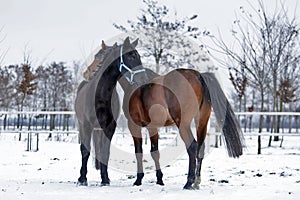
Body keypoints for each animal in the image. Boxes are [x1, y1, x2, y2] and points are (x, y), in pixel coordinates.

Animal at [74, 37, 146, 186]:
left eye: (138, 56)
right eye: (131, 56)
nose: (144, 79)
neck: (101, 95)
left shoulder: (109, 127)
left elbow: (105, 152)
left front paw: (105, 179)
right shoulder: (86, 125)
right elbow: (85, 151)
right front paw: (82, 179)